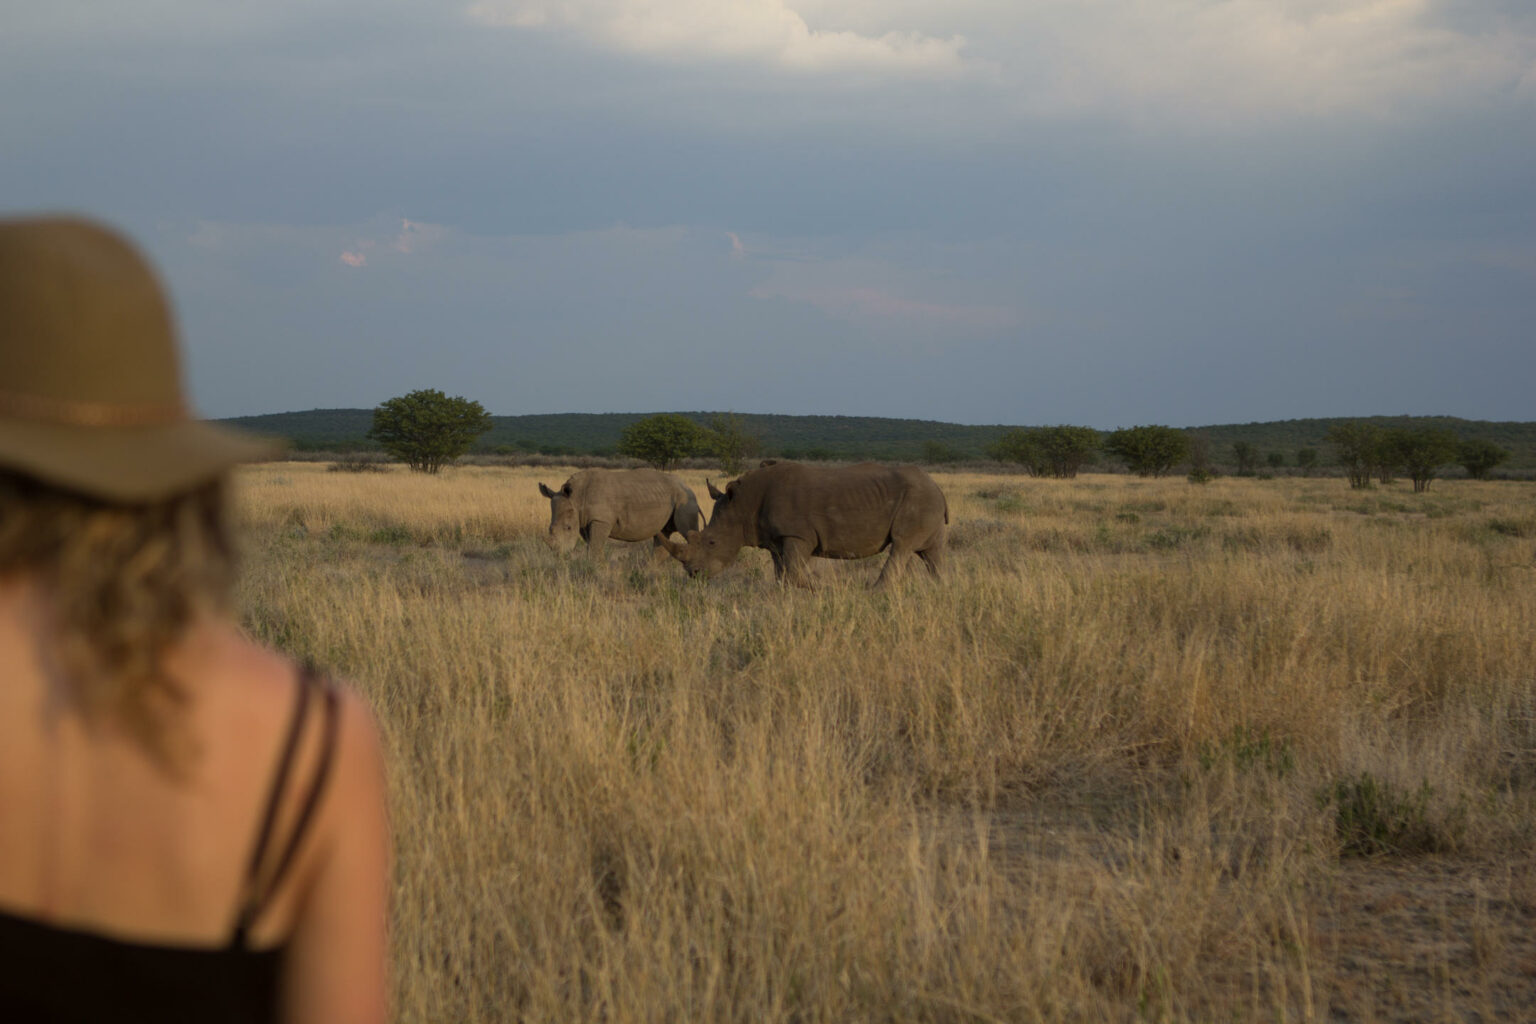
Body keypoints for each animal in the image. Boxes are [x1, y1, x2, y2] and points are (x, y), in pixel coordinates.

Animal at [538, 468, 702, 561]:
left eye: (568, 528)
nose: (560, 555)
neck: (576, 497)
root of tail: (688, 487)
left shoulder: (601, 520)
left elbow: (595, 546)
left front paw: (596, 570)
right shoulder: (584, 520)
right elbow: (592, 545)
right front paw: (598, 567)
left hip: (685, 500)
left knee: (688, 532)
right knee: (662, 534)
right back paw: (652, 571)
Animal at [665, 460, 948, 586]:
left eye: (712, 542)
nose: (694, 574)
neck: (743, 506)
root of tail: (937, 486)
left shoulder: (797, 535)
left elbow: (793, 572)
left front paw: (822, 589)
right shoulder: (776, 538)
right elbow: (782, 574)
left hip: (919, 499)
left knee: (902, 545)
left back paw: (874, 592)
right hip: (926, 500)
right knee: (931, 552)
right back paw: (939, 588)